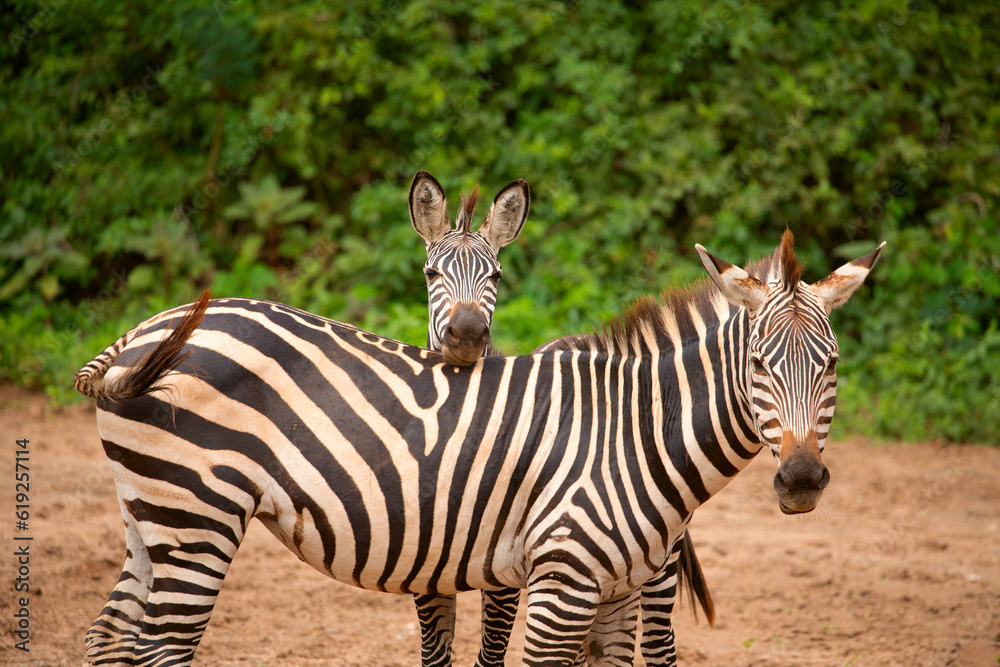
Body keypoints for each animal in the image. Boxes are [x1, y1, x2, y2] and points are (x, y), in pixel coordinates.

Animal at [75, 230, 883, 666]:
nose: (802, 479)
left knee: (112, 635)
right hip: (197, 517)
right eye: (759, 366)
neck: (633, 430)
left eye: (833, 364)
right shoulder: (562, 583)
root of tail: (142, 330)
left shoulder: (620, 591)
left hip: (151, 514)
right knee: (160, 646)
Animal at [410, 170, 714, 667]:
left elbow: (492, 652)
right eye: (431, 274)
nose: (469, 334)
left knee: (658, 643)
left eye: (495, 275)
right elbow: (435, 653)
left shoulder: (510, 572)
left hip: (656, 560)